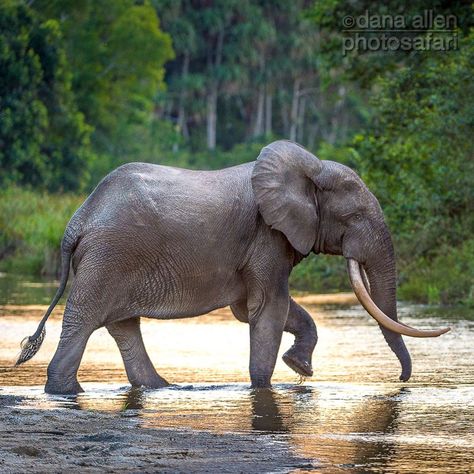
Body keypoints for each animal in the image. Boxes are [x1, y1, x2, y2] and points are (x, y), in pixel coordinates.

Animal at [14, 140, 450, 392]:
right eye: (356, 216)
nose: (401, 380)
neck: (308, 169)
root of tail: (77, 220)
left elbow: (261, 309)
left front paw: (300, 368)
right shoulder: (268, 236)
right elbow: (268, 308)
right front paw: (267, 385)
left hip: (113, 261)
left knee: (123, 325)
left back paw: (160, 387)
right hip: (109, 257)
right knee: (84, 320)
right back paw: (65, 392)